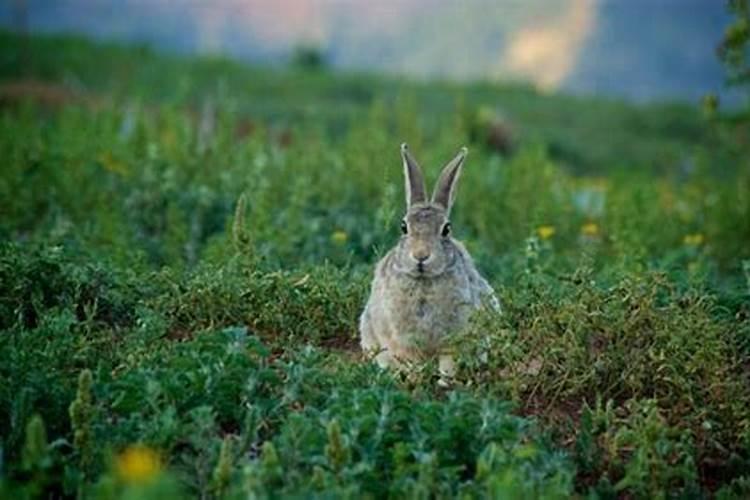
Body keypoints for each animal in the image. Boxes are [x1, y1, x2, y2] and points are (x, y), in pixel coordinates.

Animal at [362, 143, 502, 380]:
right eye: (403, 227)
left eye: (446, 229)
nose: (421, 256)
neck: (422, 281)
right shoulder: (401, 340)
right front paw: (414, 376)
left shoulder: (458, 337)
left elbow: (449, 360)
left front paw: (446, 379)